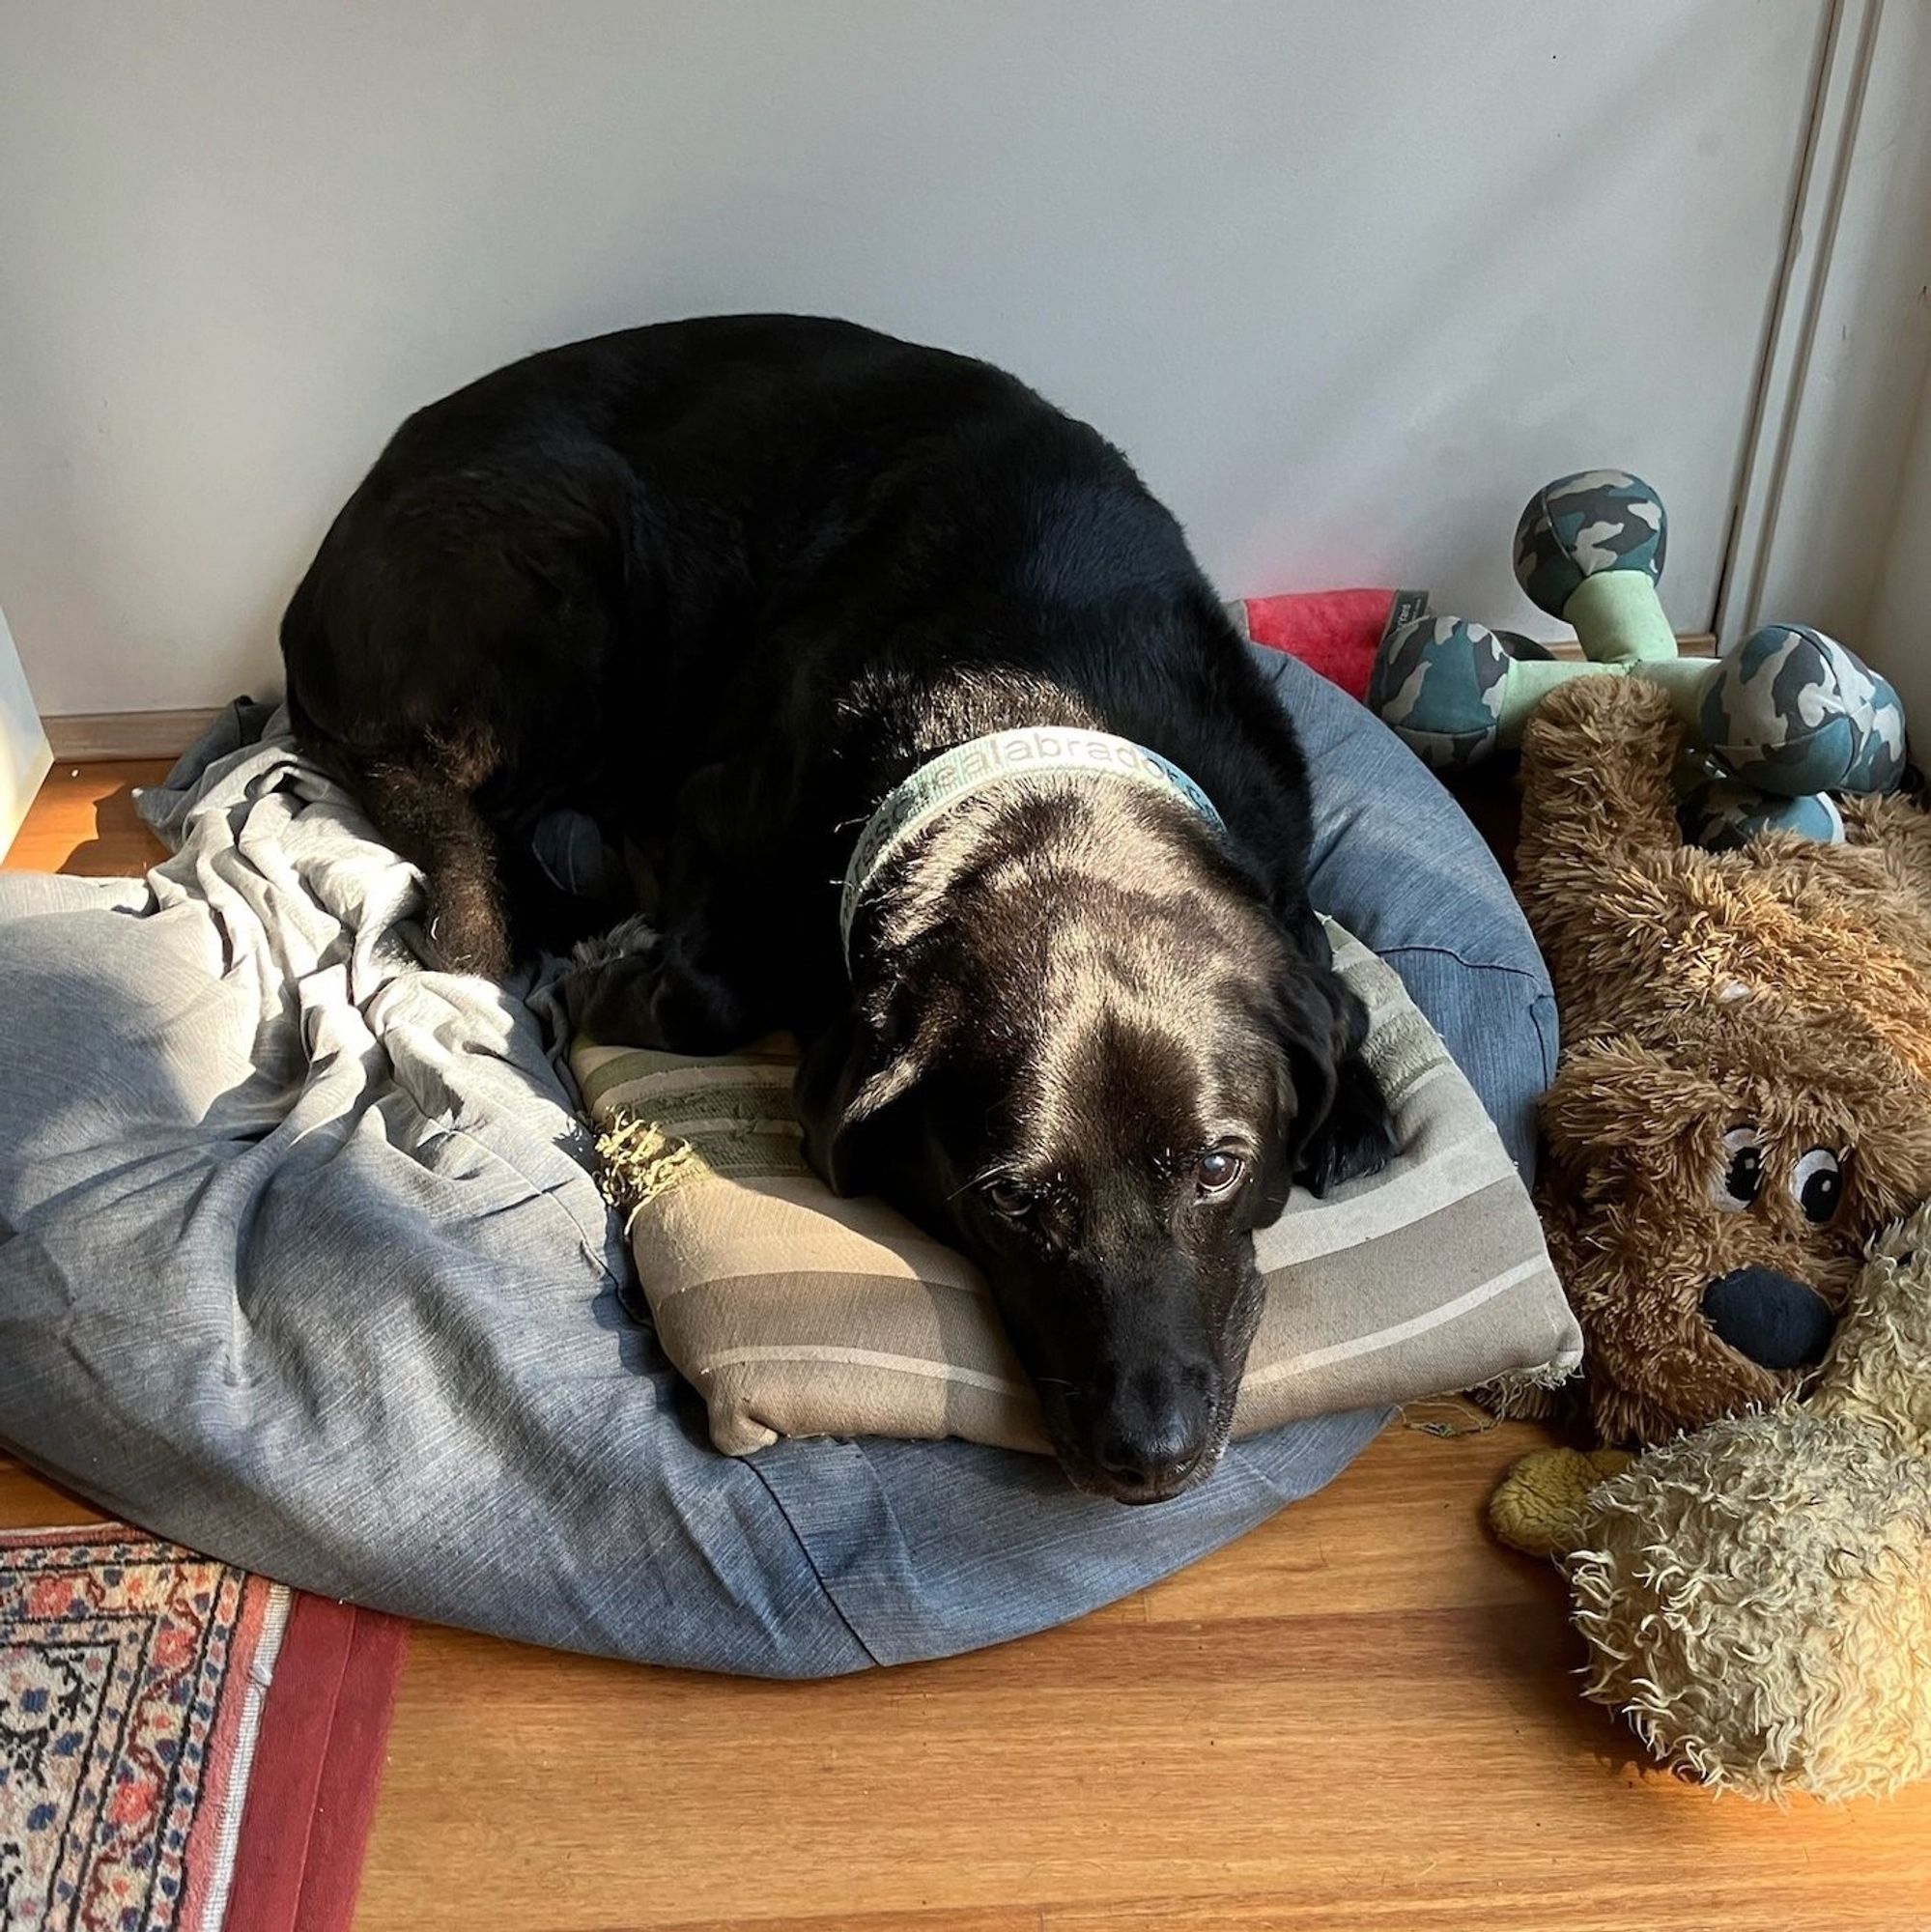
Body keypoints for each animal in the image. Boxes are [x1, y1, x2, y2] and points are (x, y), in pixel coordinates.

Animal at [279, 317, 1398, 1499]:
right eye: (1009, 1200)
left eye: (1219, 1166)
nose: (1152, 1457)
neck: (1034, 713)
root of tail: (311, 586)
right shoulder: (715, 806)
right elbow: (709, 995)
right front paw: (622, 982)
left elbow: (1322, 963)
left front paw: (1356, 1104)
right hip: (572, 588)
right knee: (463, 843)